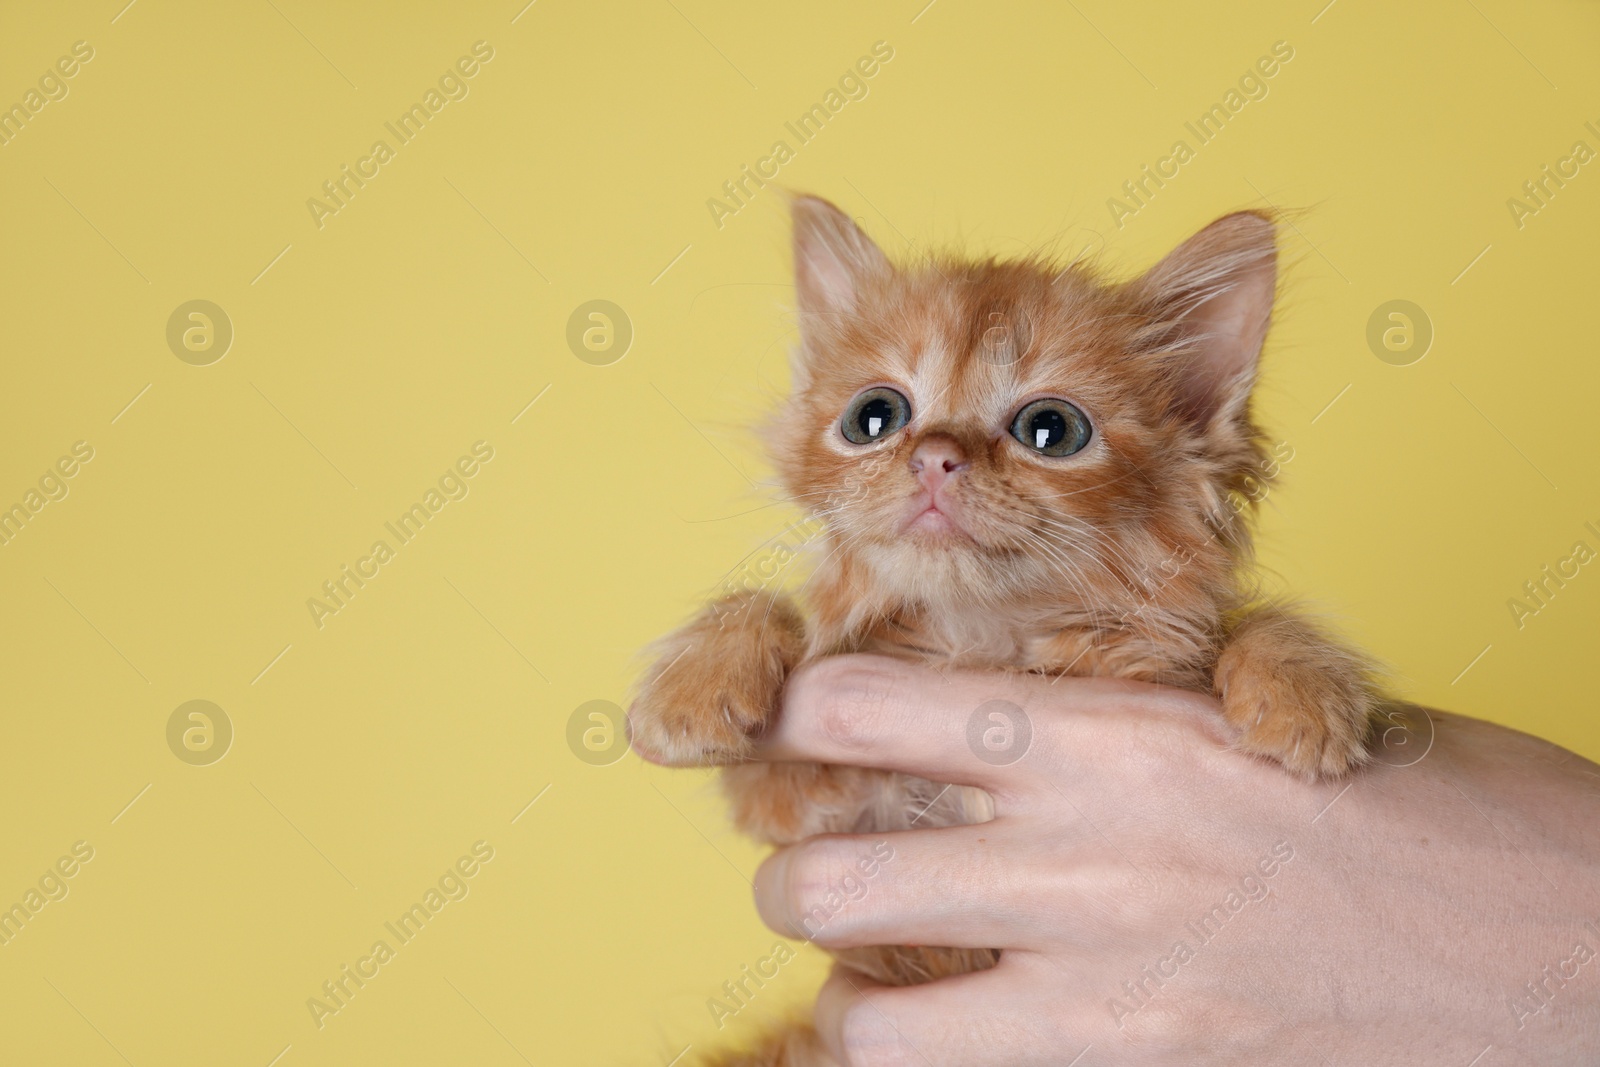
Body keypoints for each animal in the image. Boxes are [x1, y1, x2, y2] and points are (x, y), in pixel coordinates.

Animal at [630, 195, 1382, 1062]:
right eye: (874, 417)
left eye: (1051, 429)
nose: (933, 457)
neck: (981, 643)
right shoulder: (803, 805)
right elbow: (772, 616)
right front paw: (694, 684)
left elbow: (1253, 624)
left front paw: (1302, 690)